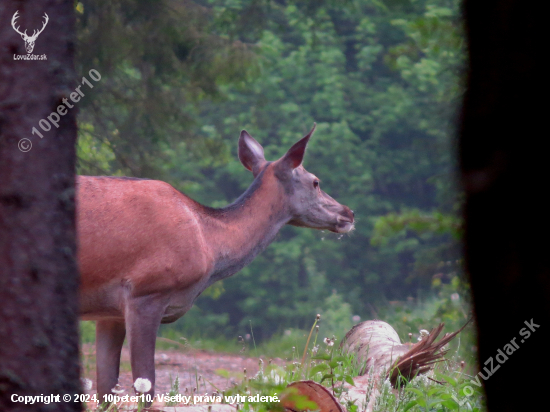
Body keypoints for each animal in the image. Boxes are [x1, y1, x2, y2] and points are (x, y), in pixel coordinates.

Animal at [75, 124, 356, 402]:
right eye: (315, 182)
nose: (349, 213)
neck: (207, 243)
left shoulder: (111, 312)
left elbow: (105, 390)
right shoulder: (146, 292)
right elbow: (146, 388)